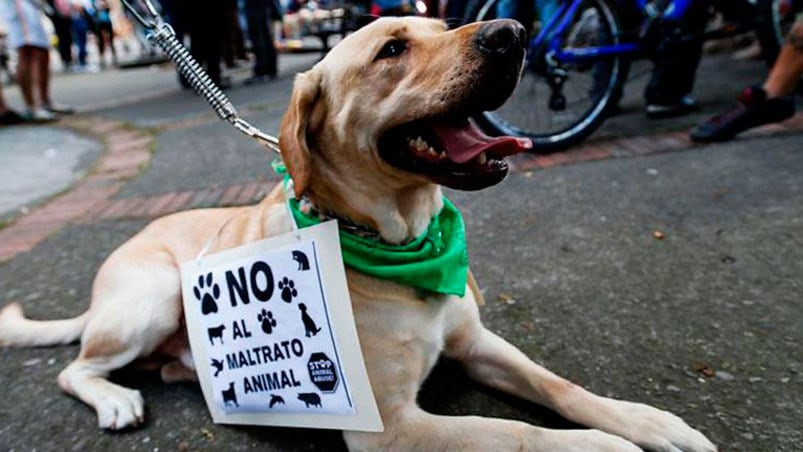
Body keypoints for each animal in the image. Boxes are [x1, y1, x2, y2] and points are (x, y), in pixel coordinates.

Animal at [0, 15, 716, 450]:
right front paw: (602, 444)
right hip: (150, 299)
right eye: (392, 49)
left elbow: (558, 386)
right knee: (74, 368)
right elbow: (518, 434)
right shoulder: (392, 427)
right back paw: (114, 400)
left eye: (441, 25)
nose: (513, 31)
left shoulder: (478, 343)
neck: (399, 240)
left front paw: (644, 420)